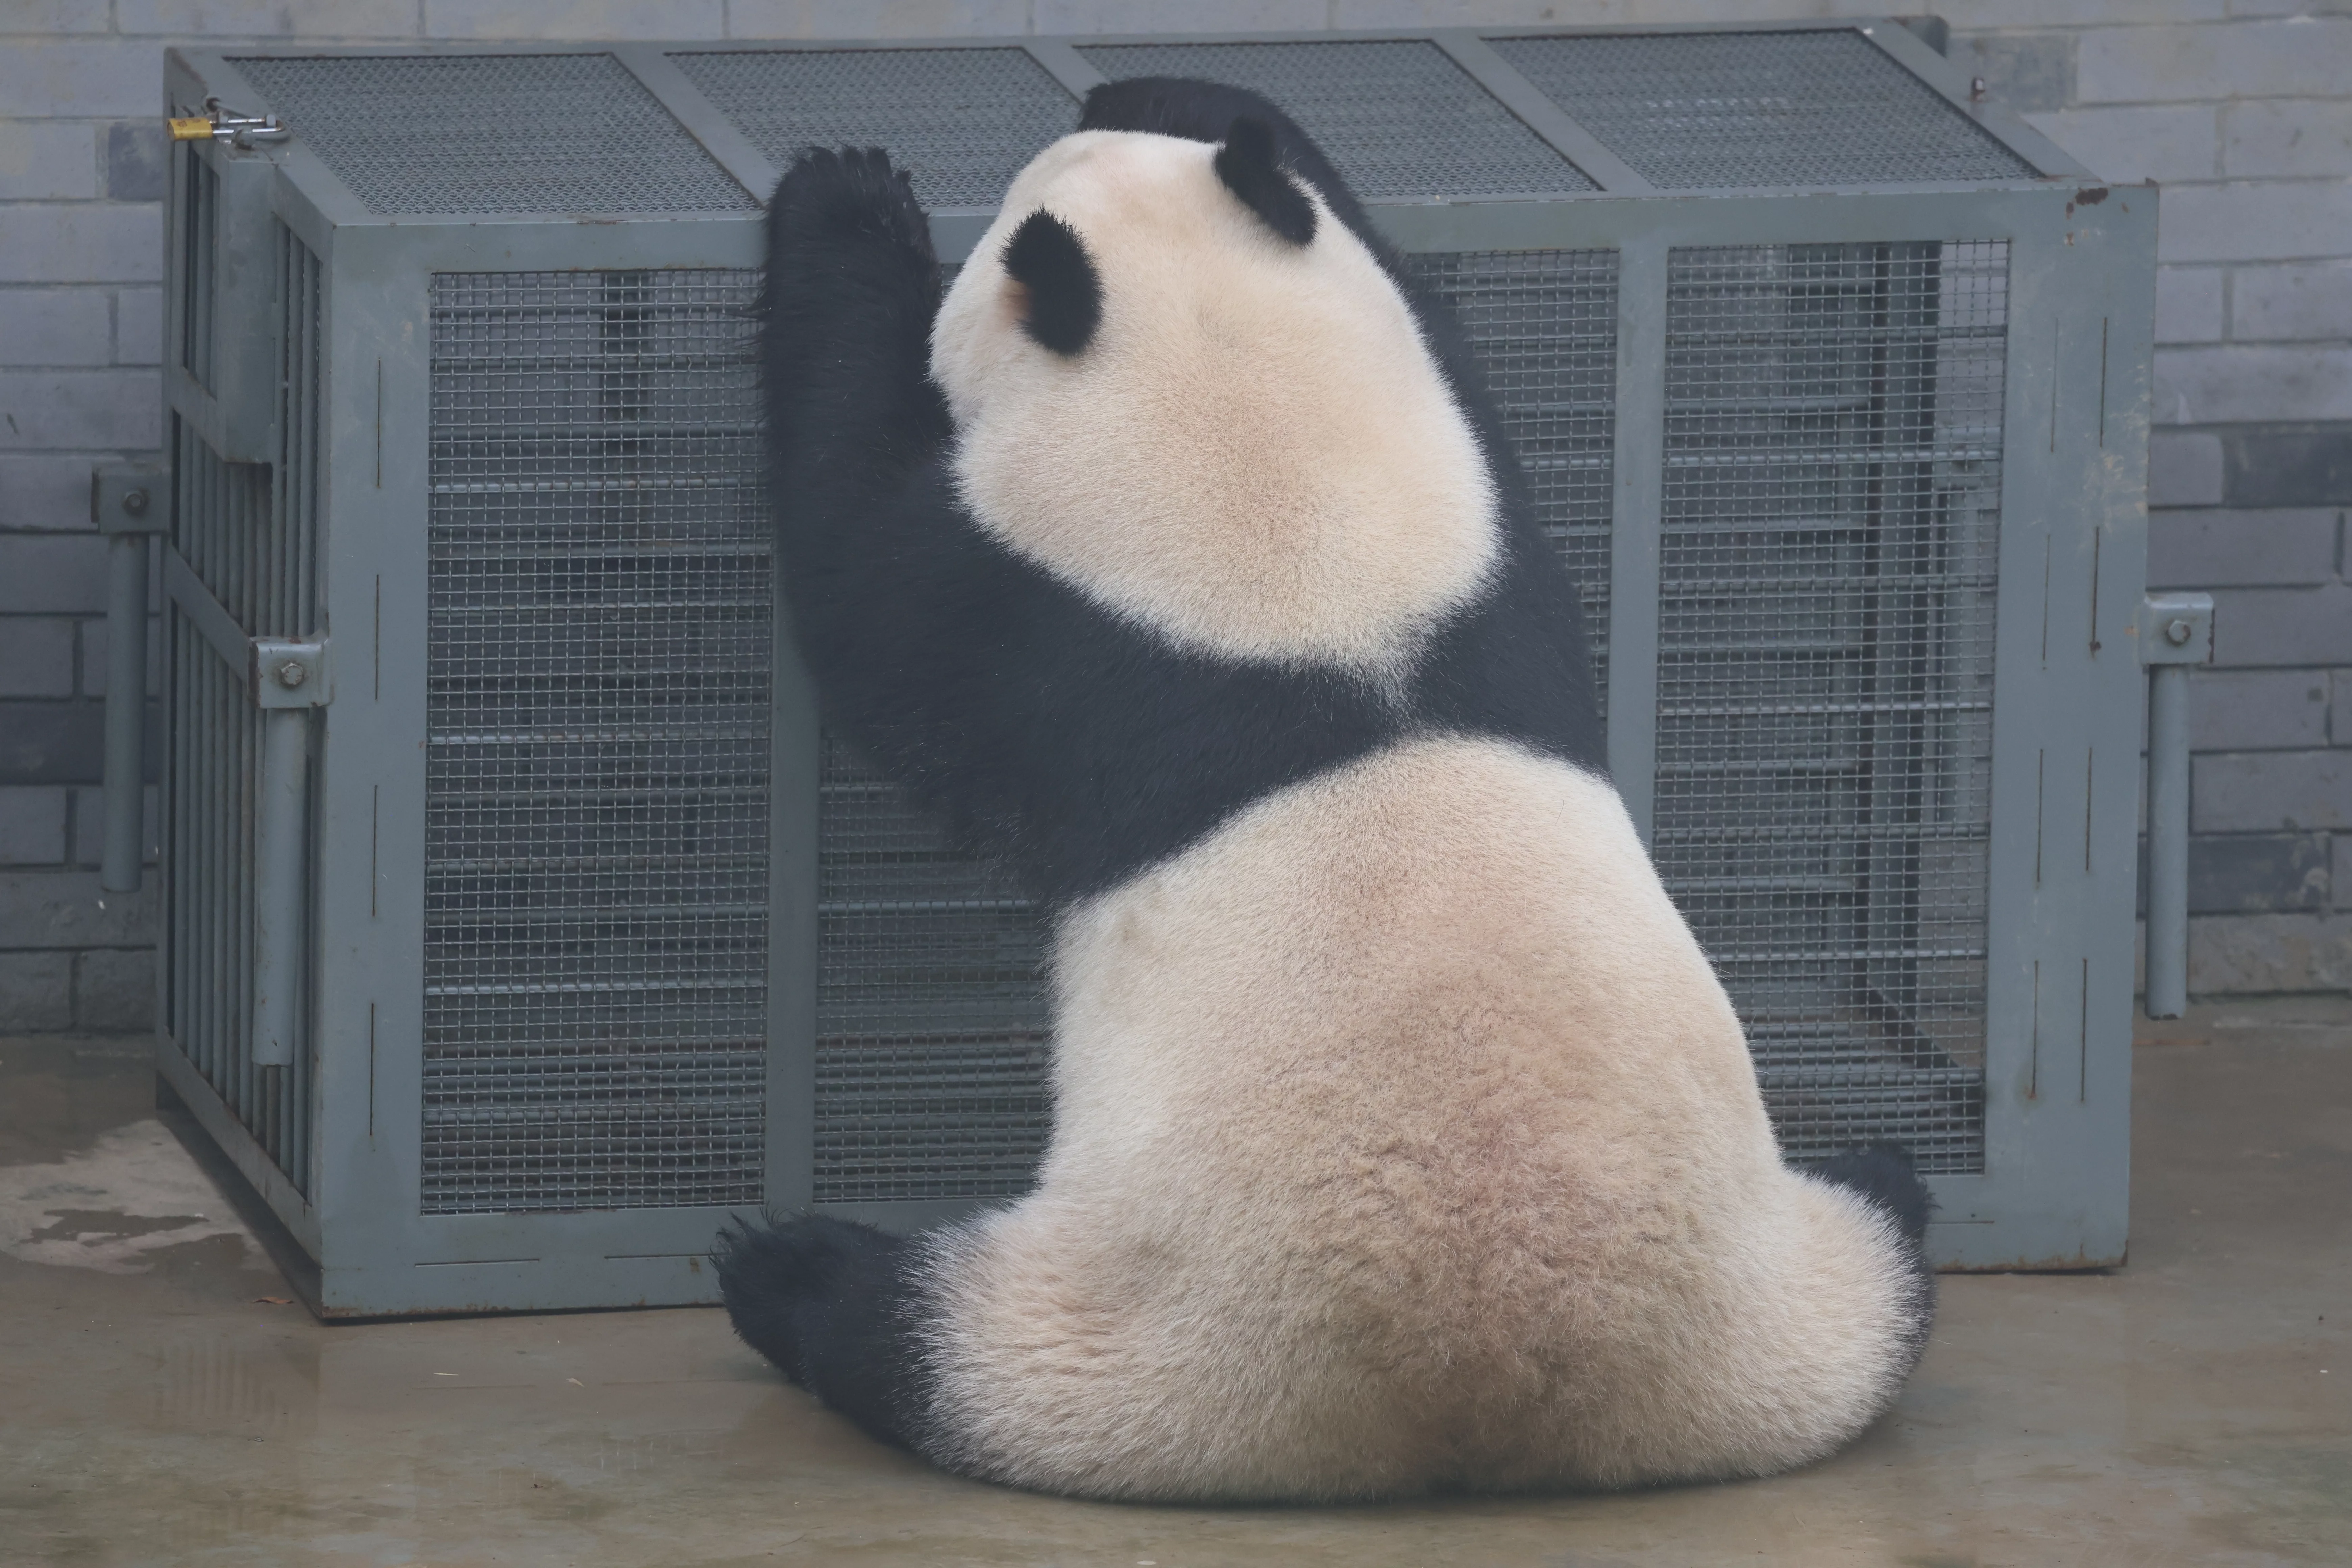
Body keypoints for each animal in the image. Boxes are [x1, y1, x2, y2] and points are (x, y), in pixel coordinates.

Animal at [714, 79, 1936, 1504]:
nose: (1091, 111)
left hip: (1155, 1345)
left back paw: (786, 1268)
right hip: (1779, 1305)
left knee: (928, 1343)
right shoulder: (1490, 545)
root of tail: (1492, 1398)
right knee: (1886, 1235)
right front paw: (1186, 93)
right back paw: (1889, 1171)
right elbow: (1413, 293)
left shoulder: (1049, 631)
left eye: (1007, 223)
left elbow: (862, 561)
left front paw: (845, 198)